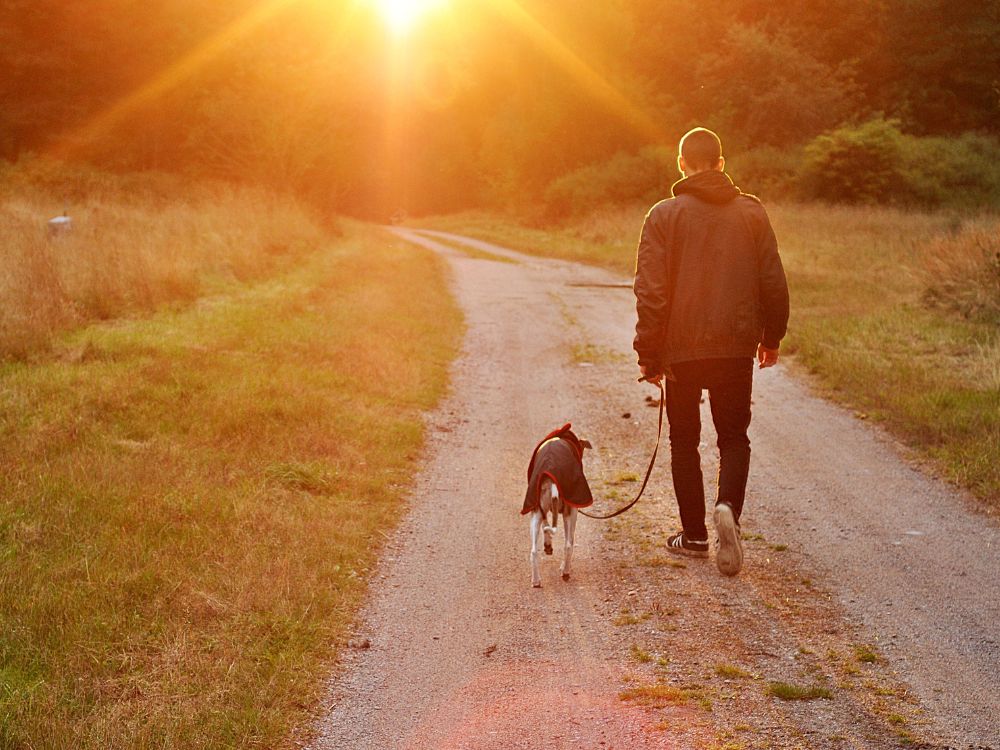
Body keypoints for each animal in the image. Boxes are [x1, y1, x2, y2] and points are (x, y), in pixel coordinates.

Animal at [524, 424, 592, 588]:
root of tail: (552, 478)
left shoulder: (541, 510)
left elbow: (546, 526)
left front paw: (548, 545)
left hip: (535, 512)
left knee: (534, 551)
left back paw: (536, 581)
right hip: (571, 512)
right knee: (569, 545)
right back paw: (565, 571)